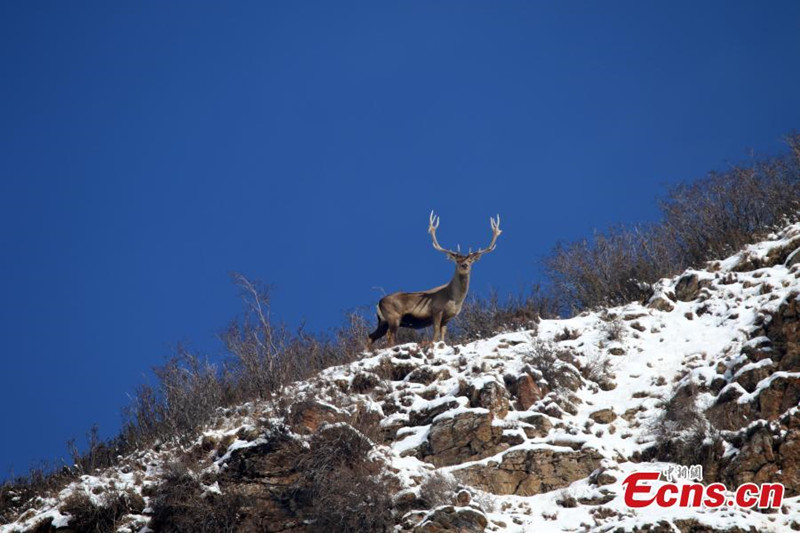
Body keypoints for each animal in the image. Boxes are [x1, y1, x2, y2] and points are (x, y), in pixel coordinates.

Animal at [368, 210, 500, 348]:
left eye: (471, 261)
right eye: (457, 261)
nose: (464, 265)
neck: (454, 299)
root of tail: (379, 302)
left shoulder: (448, 318)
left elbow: (442, 335)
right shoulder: (436, 310)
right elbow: (435, 333)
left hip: (383, 321)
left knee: (371, 336)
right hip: (393, 317)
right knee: (389, 336)